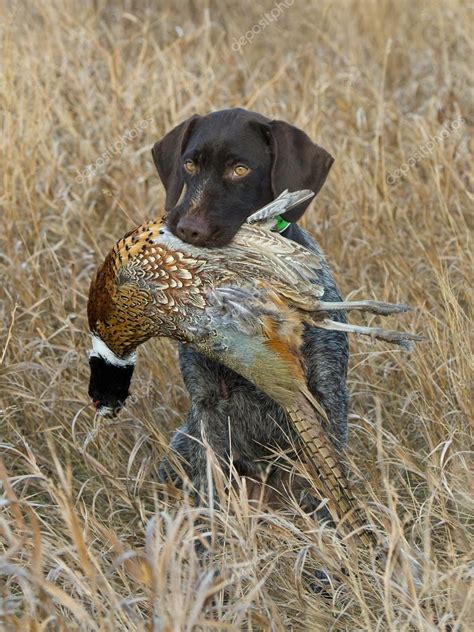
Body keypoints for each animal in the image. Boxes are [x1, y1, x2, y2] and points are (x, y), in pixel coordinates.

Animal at [152, 108, 348, 512]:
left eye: (240, 169)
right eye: (190, 164)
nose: (187, 228)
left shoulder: (326, 393)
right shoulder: (207, 403)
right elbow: (210, 482)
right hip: (181, 439)